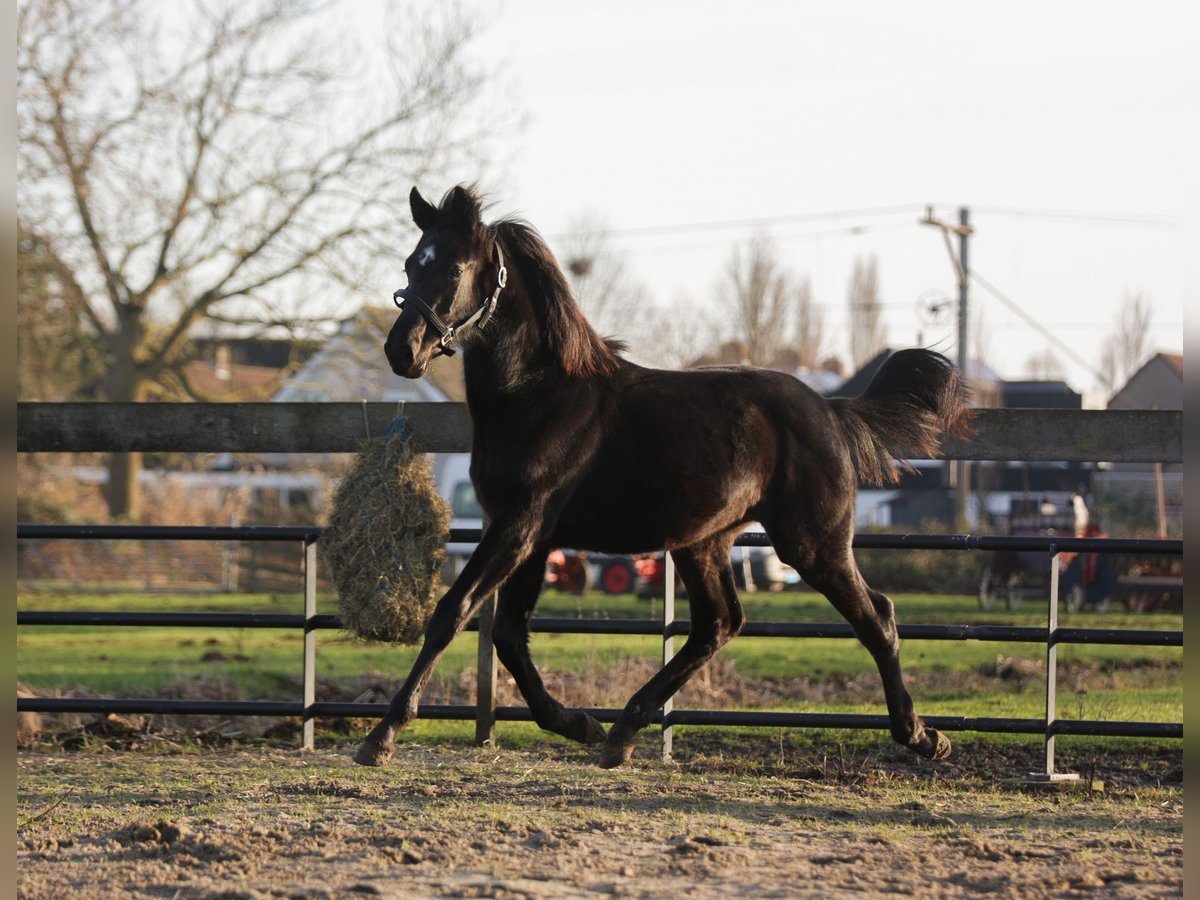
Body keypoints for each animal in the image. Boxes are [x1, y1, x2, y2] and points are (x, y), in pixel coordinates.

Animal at [355, 184, 971, 769]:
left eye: (454, 268)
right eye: (411, 264)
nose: (401, 350)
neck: (539, 397)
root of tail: (831, 410)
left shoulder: (520, 526)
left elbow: (452, 612)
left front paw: (381, 736)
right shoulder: (531, 536)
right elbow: (508, 635)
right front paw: (578, 723)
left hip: (813, 543)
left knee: (877, 617)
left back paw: (923, 737)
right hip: (704, 541)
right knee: (719, 623)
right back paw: (622, 732)